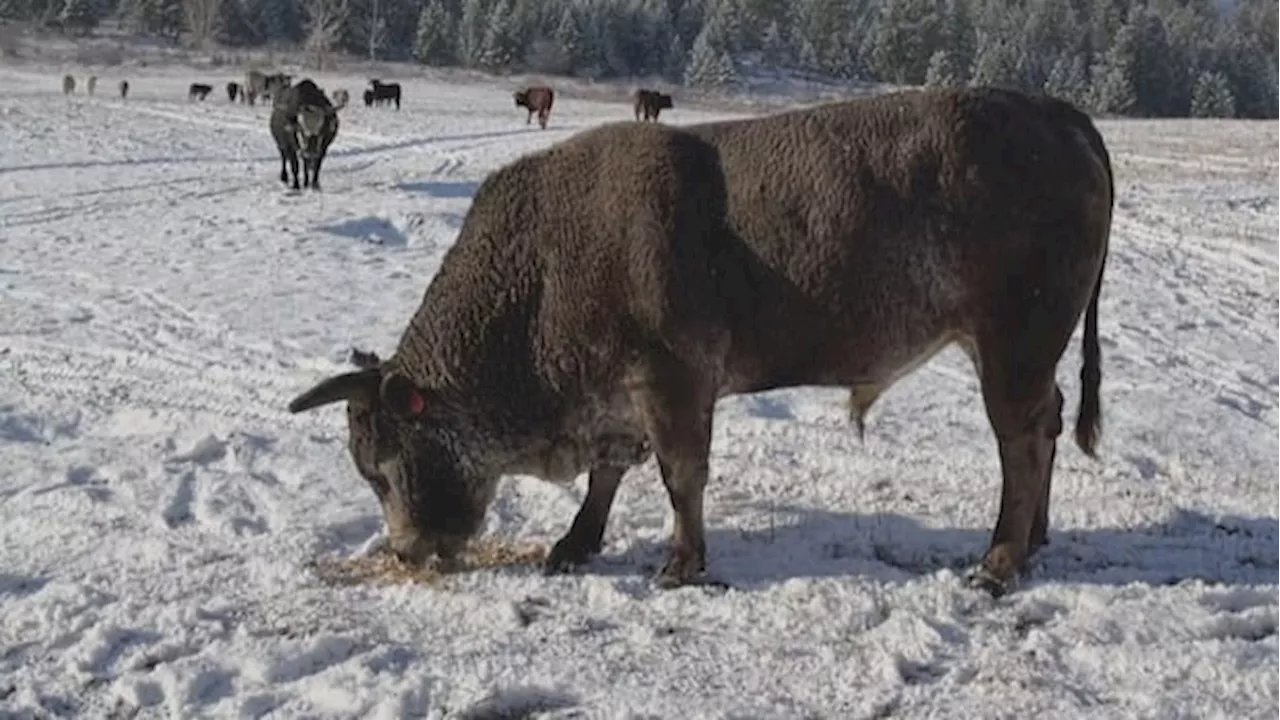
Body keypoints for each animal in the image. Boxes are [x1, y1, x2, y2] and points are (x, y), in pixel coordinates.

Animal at [285, 87, 1116, 597]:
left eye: (383, 464)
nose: (406, 550)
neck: (543, 268)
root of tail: (1060, 114)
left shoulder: (674, 383)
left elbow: (680, 477)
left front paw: (680, 563)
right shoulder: (617, 400)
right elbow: (608, 476)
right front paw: (574, 543)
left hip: (1012, 346)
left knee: (1023, 442)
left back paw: (1000, 560)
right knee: (1047, 422)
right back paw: (1035, 537)